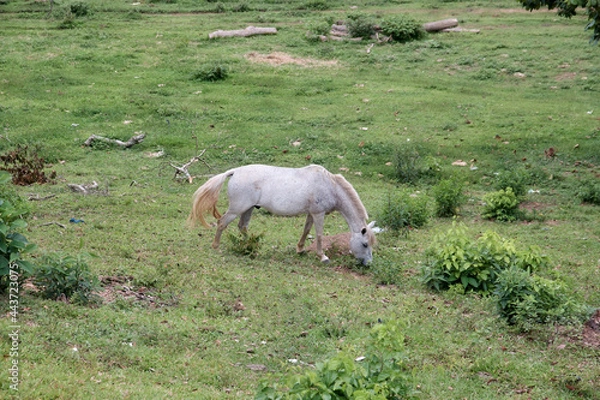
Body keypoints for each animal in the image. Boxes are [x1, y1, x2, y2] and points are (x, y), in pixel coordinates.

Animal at [188, 164, 376, 264]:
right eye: (365, 244)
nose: (368, 264)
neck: (330, 186)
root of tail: (235, 171)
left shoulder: (311, 213)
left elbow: (306, 231)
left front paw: (300, 249)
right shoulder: (319, 213)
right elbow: (319, 235)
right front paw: (322, 256)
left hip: (248, 209)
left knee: (242, 227)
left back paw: (251, 246)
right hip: (237, 209)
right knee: (222, 223)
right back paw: (216, 246)